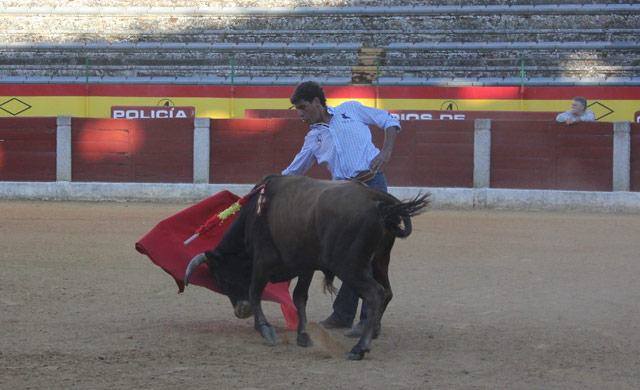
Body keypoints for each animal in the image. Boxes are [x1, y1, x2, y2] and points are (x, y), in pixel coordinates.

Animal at [184, 175, 430, 362]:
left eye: (222, 281)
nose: (240, 311)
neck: (254, 215)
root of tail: (378, 199)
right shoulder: (305, 266)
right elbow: (299, 297)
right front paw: (303, 336)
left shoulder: (262, 260)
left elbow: (255, 292)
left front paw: (265, 329)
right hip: (380, 260)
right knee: (387, 292)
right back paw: (367, 338)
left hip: (349, 266)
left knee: (376, 295)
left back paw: (359, 349)